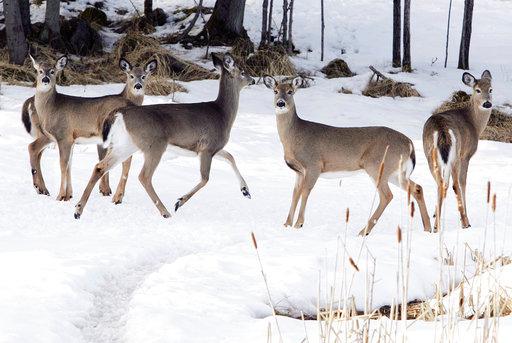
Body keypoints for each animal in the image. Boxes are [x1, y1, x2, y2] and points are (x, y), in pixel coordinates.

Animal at [26, 55, 157, 203]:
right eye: (40, 71)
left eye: (53, 71)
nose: (45, 79)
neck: (52, 108)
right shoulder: (71, 139)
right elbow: (69, 164)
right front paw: (68, 195)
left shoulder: (64, 136)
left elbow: (63, 165)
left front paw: (61, 196)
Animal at [73, 53, 254, 220]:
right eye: (243, 71)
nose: (252, 80)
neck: (222, 114)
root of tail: (120, 113)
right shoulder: (207, 147)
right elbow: (205, 178)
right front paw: (179, 201)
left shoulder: (213, 149)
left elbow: (230, 157)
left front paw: (246, 191)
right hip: (154, 145)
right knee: (144, 176)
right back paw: (165, 211)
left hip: (126, 144)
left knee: (100, 167)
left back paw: (78, 210)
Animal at [262, 76, 430, 236]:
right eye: (275, 91)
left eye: (290, 91)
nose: (281, 103)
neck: (294, 136)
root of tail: (409, 143)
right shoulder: (298, 171)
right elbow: (295, 193)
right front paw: (286, 224)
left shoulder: (313, 165)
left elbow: (305, 192)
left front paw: (299, 224)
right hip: (396, 172)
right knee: (417, 188)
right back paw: (428, 228)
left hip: (377, 165)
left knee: (387, 196)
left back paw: (364, 231)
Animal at [424, 70, 492, 231]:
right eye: (477, 90)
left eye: (491, 89)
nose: (487, 103)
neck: (474, 123)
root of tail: (442, 129)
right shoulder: (466, 155)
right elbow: (463, 183)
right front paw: (466, 217)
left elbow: (445, 182)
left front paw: (435, 213)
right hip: (456, 154)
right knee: (455, 184)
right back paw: (465, 222)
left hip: (431, 154)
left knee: (441, 183)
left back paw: (436, 226)